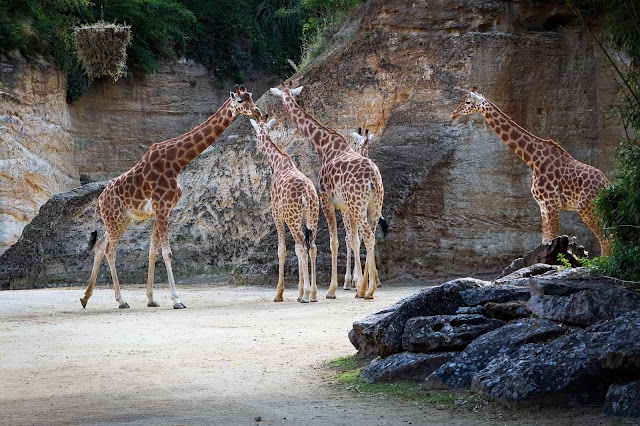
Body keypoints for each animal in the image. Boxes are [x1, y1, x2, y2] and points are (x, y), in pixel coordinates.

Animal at [80, 85, 262, 308]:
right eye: (239, 101)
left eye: (250, 96)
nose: (257, 112)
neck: (177, 161)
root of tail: (99, 201)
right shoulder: (162, 207)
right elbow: (167, 253)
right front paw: (177, 300)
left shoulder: (164, 211)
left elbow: (152, 252)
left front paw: (151, 299)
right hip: (114, 219)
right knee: (110, 251)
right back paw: (121, 301)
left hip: (120, 220)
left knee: (99, 247)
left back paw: (85, 298)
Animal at [250, 116, 320, 302]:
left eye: (256, 134)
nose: (257, 147)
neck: (278, 163)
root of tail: (306, 193)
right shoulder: (302, 219)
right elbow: (295, 249)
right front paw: (300, 292)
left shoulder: (277, 214)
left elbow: (282, 250)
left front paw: (279, 293)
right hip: (313, 217)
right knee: (311, 246)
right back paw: (313, 294)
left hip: (293, 218)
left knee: (302, 245)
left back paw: (307, 294)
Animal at [270, 84, 384, 300]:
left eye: (280, 96)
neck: (325, 147)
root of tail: (373, 179)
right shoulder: (345, 207)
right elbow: (352, 240)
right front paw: (356, 283)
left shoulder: (327, 201)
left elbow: (334, 242)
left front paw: (332, 289)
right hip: (373, 205)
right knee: (371, 236)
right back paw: (367, 288)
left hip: (358, 205)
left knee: (368, 236)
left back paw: (367, 289)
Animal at [450, 87, 608, 256]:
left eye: (468, 102)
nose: (453, 113)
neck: (532, 159)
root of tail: (606, 183)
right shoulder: (543, 205)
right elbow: (545, 239)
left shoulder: (552, 202)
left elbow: (552, 236)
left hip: (587, 208)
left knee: (606, 240)